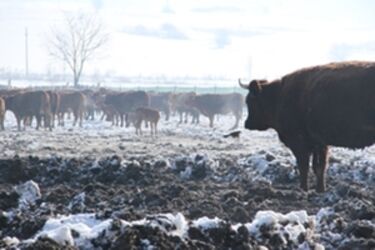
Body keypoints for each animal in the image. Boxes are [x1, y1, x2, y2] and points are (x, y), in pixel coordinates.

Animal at [241, 61, 375, 193]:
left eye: (250, 101)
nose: (247, 124)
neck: (280, 95)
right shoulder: (319, 143)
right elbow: (319, 167)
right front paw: (320, 190)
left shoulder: (300, 143)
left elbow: (304, 166)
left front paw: (303, 189)